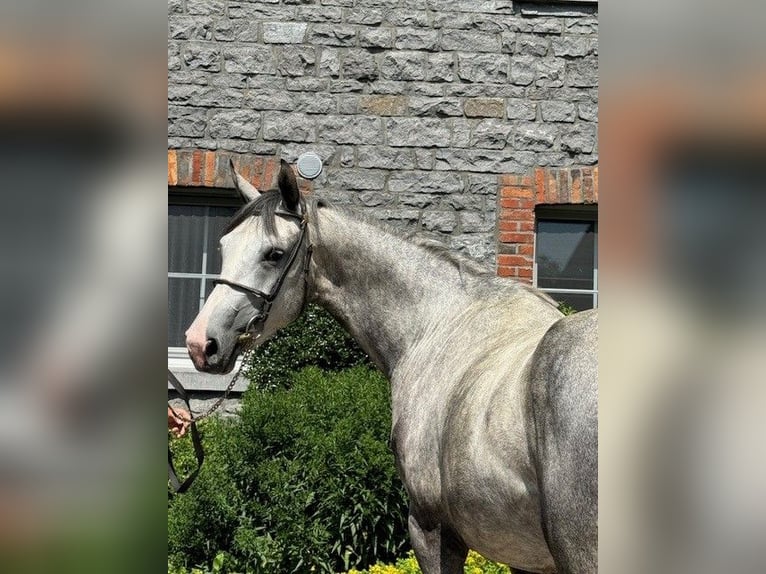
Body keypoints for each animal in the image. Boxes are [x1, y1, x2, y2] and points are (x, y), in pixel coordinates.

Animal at [186, 159, 600, 574]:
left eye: (273, 253)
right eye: (223, 247)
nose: (200, 343)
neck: (435, 325)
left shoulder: (430, 527)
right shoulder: (524, 557)